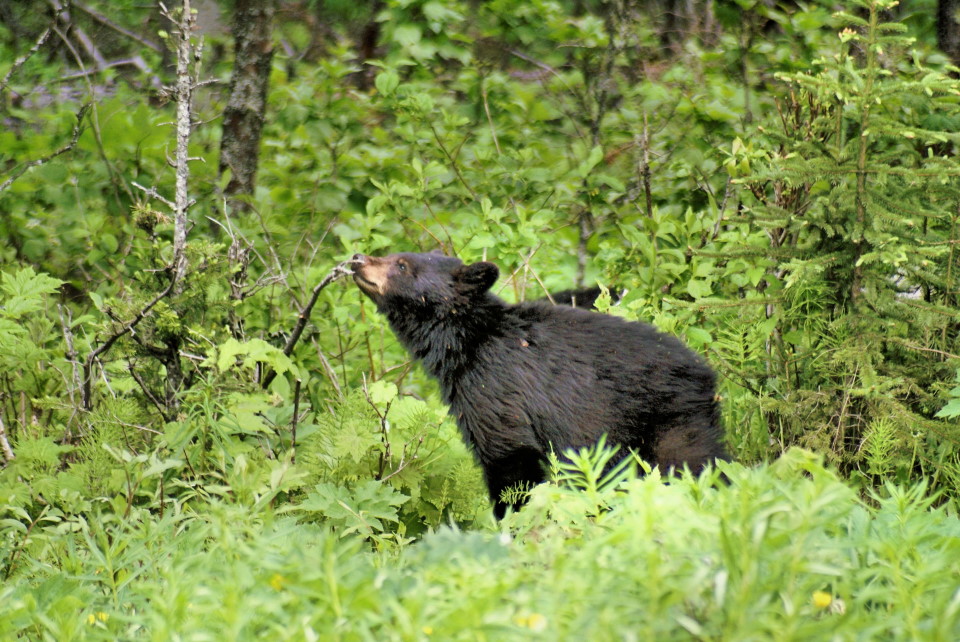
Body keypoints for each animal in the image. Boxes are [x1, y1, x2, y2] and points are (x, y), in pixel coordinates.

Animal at [352, 250, 728, 516]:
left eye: (402, 265)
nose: (357, 259)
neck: (466, 340)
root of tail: (707, 376)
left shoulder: (493, 388)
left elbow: (511, 463)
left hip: (667, 423)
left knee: (692, 466)